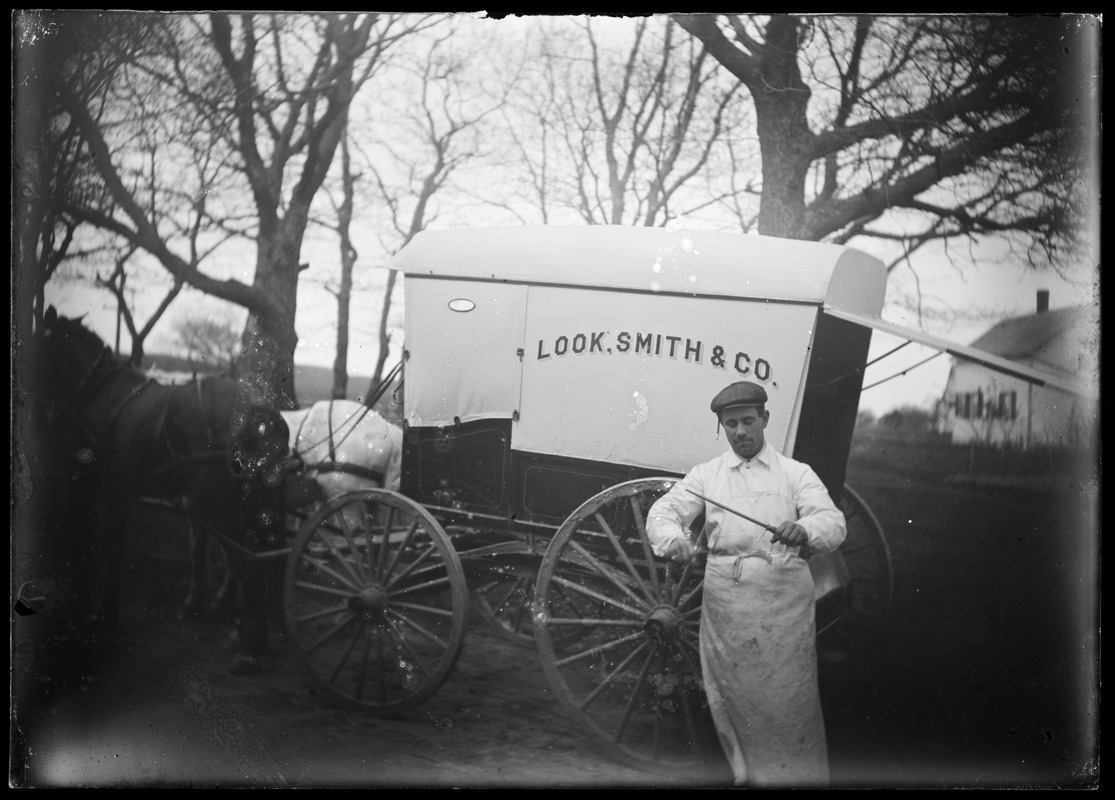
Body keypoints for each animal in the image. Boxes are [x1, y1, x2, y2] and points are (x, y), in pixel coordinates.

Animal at [30, 307, 314, 669]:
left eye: (40, 341)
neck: (100, 391)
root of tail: (261, 414)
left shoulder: (99, 490)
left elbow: (101, 550)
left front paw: (99, 616)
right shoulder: (122, 492)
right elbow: (119, 549)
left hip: (220, 504)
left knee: (245, 561)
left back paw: (251, 646)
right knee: (259, 558)